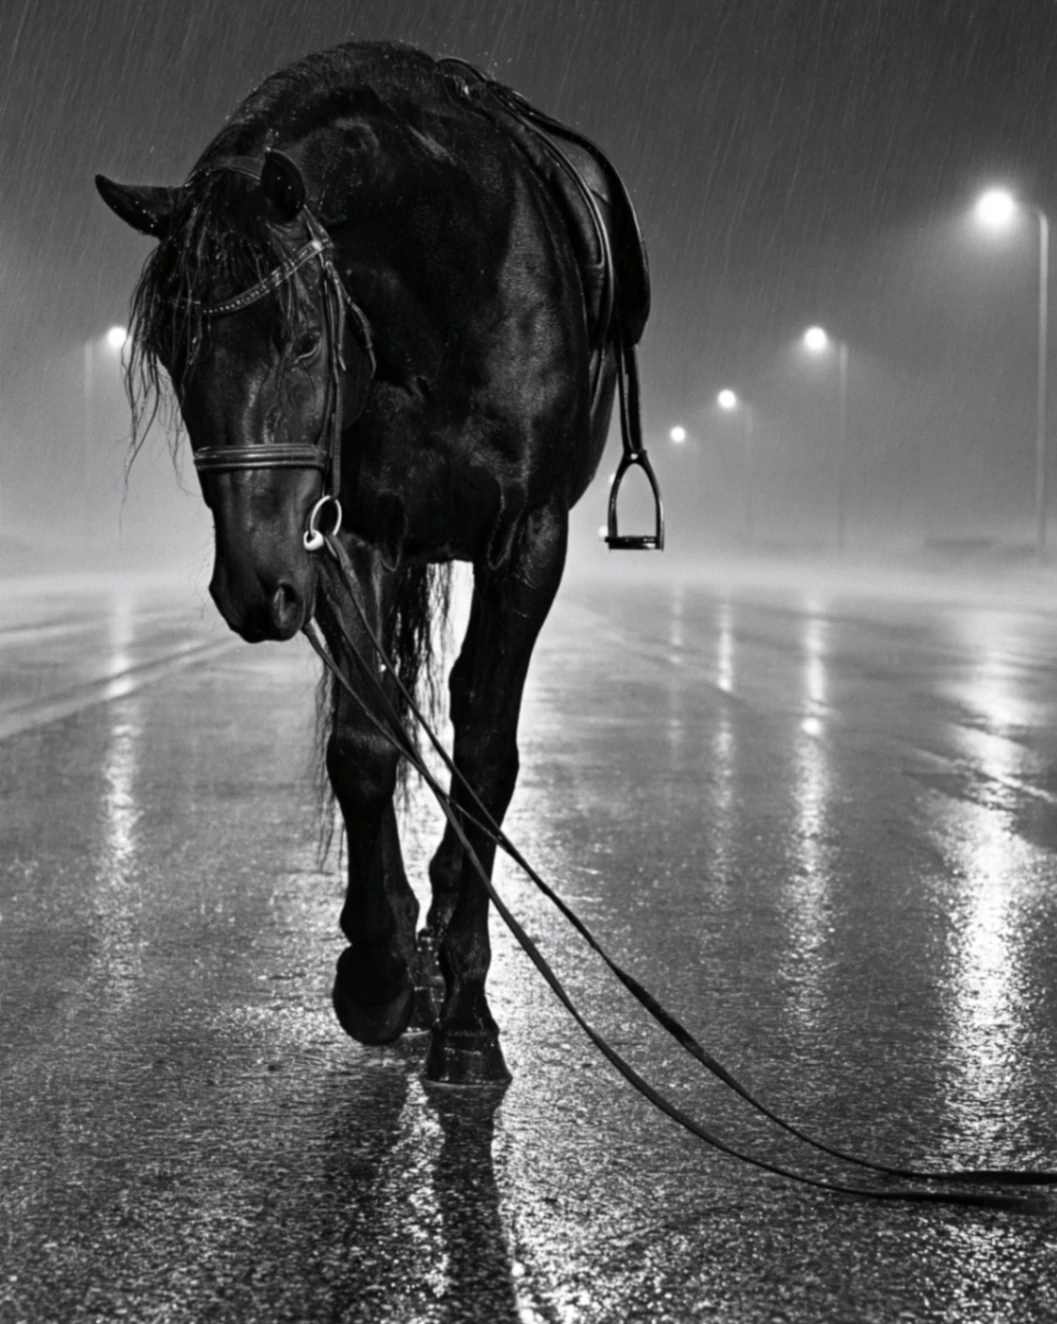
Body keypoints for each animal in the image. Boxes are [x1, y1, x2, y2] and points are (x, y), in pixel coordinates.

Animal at [96, 40, 653, 1087]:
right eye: (173, 351)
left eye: (306, 339)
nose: (251, 587)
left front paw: (468, 1014)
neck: (450, 285)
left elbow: (485, 754)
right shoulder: (348, 532)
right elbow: (363, 745)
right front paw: (375, 969)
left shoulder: (531, 540)